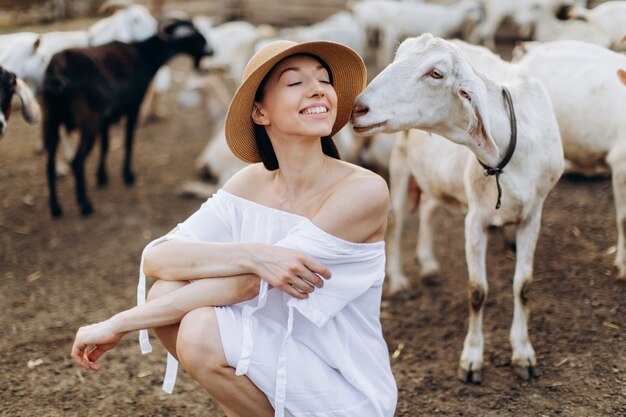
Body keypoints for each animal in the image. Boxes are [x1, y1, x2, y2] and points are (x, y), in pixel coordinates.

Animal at [42, 18, 212, 216]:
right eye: (195, 36)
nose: (211, 50)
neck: (144, 55)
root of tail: (57, 71)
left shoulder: (105, 119)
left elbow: (106, 145)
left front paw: (102, 176)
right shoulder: (133, 107)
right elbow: (129, 141)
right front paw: (128, 175)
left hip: (52, 120)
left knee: (49, 166)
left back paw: (55, 207)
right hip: (88, 123)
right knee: (77, 162)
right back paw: (85, 205)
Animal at [348, 34, 564, 382]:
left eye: (436, 73)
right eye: (398, 56)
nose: (358, 108)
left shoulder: (533, 215)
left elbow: (523, 286)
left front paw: (523, 354)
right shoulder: (476, 218)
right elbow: (477, 291)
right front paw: (472, 360)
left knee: (429, 210)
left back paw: (429, 266)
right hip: (401, 161)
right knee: (396, 221)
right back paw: (399, 282)